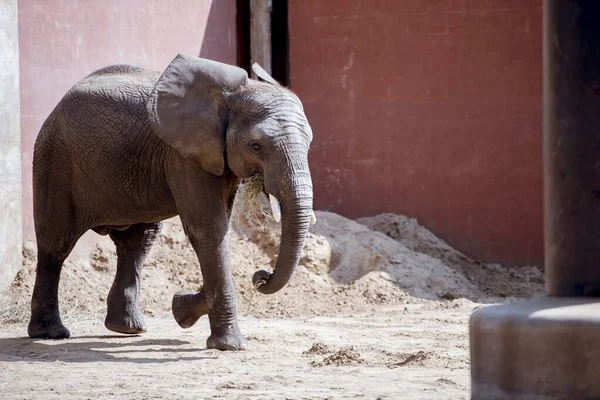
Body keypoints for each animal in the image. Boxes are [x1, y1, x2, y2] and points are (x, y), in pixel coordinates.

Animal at [25, 54, 316, 350]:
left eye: (309, 143)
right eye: (255, 146)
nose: (260, 276)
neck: (232, 96)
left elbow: (217, 228)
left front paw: (182, 310)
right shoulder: (184, 155)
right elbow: (209, 229)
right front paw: (230, 346)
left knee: (138, 243)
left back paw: (128, 329)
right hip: (54, 158)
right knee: (56, 243)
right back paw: (51, 333)